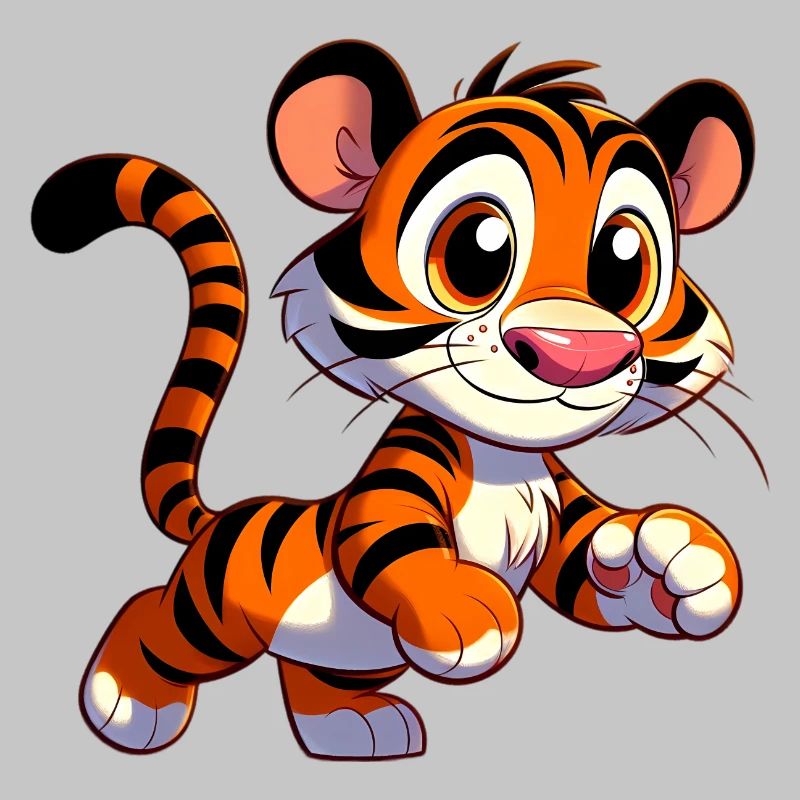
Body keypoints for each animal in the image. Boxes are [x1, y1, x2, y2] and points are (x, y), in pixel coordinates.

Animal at [31, 40, 755, 760]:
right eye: (477, 248)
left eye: (624, 261)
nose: (576, 353)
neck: (505, 462)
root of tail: (222, 517)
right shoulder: (403, 472)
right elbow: (387, 536)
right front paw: (465, 609)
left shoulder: (559, 507)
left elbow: (591, 561)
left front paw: (679, 563)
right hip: (213, 614)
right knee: (153, 615)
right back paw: (126, 703)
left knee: (309, 677)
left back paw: (355, 726)